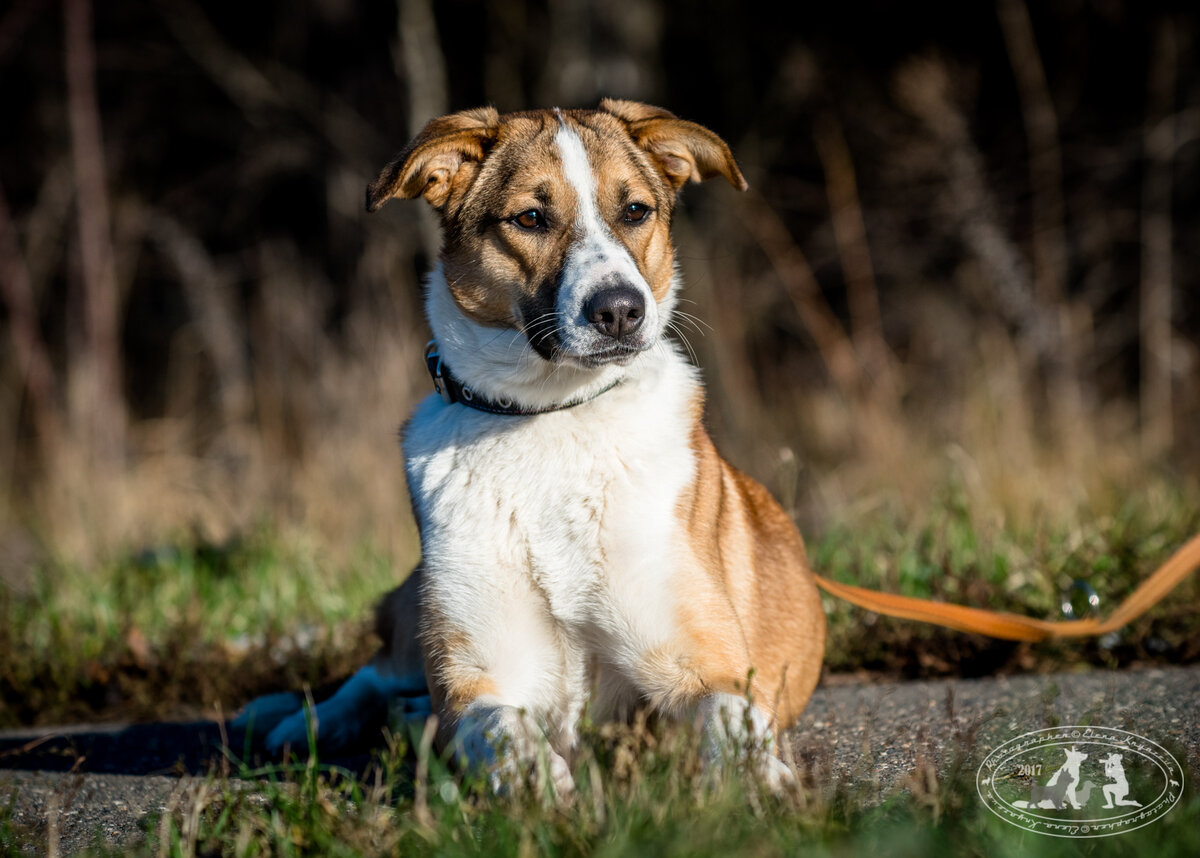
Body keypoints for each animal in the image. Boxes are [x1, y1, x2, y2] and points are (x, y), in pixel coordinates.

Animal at [238, 99, 830, 792]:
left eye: (635, 211)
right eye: (530, 218)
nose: (620, 310)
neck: (551, 416)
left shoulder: (708, 666)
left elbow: (730, 720)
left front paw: (757, 777)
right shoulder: (477, 679)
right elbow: (499, 726)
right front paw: (538, 784)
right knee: (375, 674)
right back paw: (300, 722)